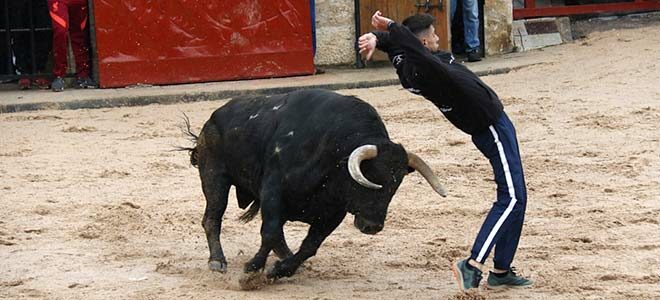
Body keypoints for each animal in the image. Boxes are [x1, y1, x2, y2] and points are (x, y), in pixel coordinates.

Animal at [183, 88, 446, 278]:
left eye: (396, 184)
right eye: (370, 177)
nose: (373, 226)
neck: (333, 151)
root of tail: (213, 118)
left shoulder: (333, 212)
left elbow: (310, 245)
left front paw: (281, 270)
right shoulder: (273, 191)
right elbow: (269, 232)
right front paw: (253, 269)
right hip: (214, 177)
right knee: (212, 218)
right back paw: (217, 261)